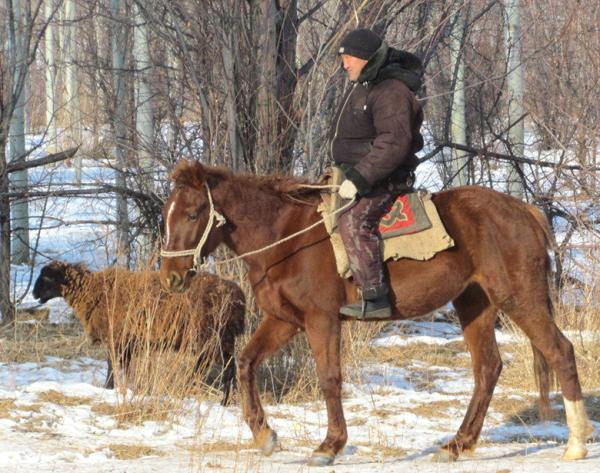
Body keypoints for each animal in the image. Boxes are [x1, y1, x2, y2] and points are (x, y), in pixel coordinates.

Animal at [31, 260, 244, 404]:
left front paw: (109, 388)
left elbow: (112, 366)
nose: (33, 294)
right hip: (219, 338)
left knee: (223, 367)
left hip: (211, 337)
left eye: (48, 276)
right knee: (222, 366)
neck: (93, 292)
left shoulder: (117, 338)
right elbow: (123, 367)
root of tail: (238, 297)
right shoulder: (127, 342)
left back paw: (218, 399)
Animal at [158, 159, 592, 464]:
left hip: (520, 298)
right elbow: (246, 362)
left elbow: (329, 379)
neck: (285, 237)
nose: (171, 277)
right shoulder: (283, 321)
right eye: (168, 213)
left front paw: (330, 445)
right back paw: (457, 444)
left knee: (560, 351)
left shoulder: (322, 321)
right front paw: (265, 437)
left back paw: (576, 443)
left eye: (193, 213)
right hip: (475, 304)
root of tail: (525, 211)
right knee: (488, 368)